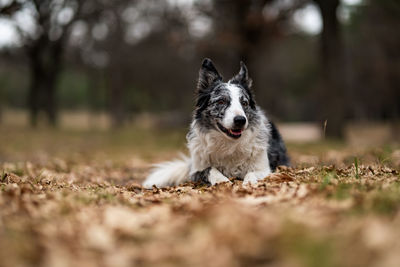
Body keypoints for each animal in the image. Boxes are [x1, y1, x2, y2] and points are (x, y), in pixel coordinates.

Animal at [142, 58, 290, 188]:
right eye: (221, 101)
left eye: (244, 103)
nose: (240, 120)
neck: (229, 144)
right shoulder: (196, 171)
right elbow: (210, 169)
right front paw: (222, 181)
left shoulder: (265, 168)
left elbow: (251, 172)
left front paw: (249, 183)